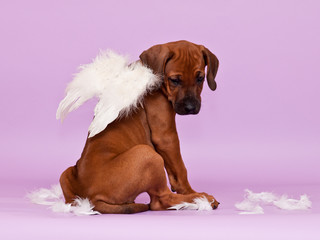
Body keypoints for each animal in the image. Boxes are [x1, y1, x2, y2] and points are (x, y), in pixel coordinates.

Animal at [59, 39, 219, 214]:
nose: (191, 108)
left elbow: (175, 171)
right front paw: (190, 191)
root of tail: (91, 200)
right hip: (147, 154)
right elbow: (180, 168)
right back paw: (201, 199)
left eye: (200, 78)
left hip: (65, 174)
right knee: (160, 201)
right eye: (175, 80)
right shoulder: (166, 137)